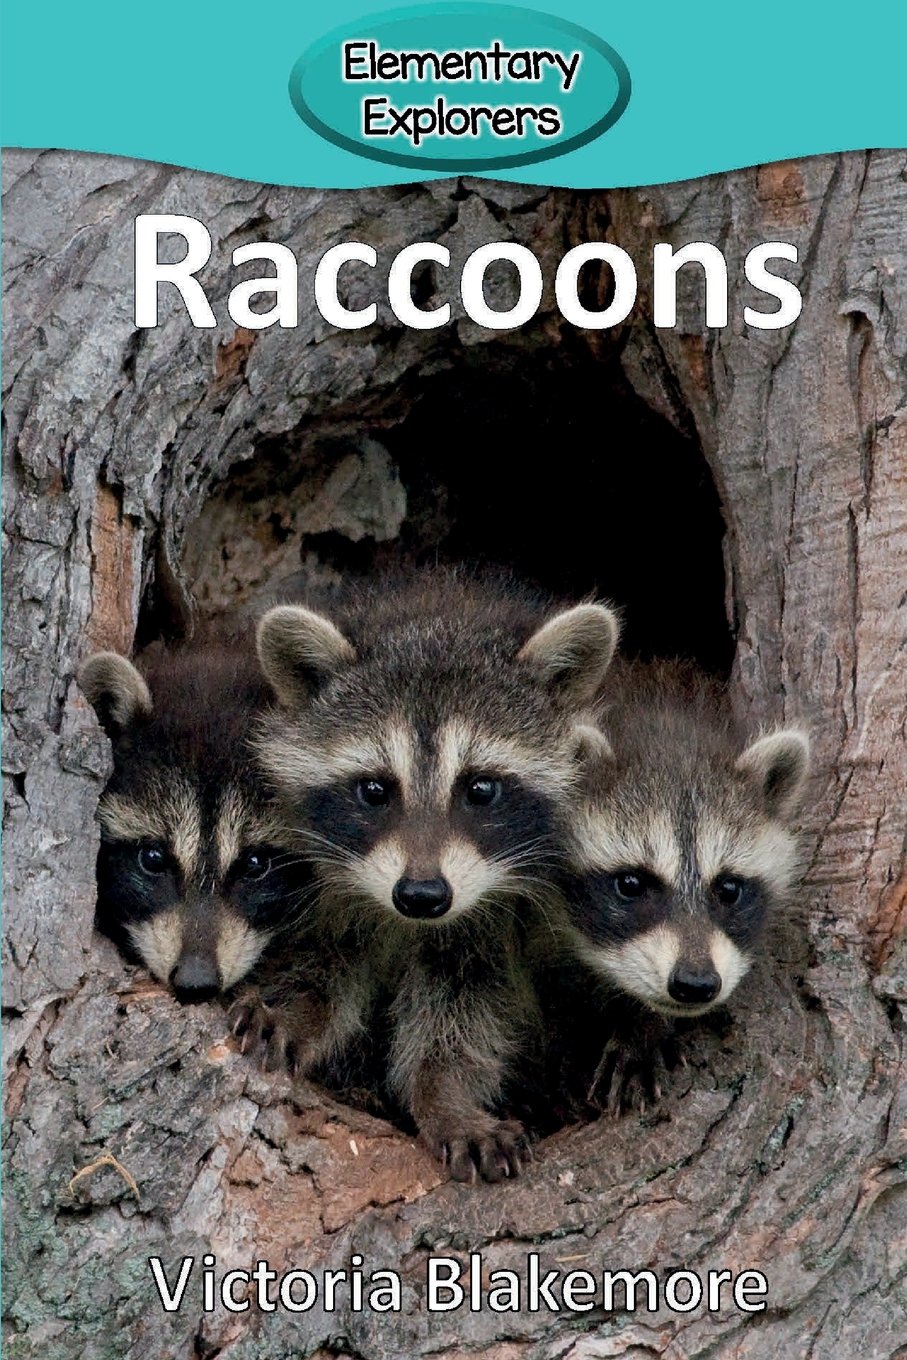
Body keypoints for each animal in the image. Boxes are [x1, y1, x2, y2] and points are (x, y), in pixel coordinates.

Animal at [241, 570, 619, 1181]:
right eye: (374, 790)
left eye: (481, 789)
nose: (421, 895)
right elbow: (324, 961)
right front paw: (296, 1009)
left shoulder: (491, 921)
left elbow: (463, 1011)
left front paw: (445, 1096)